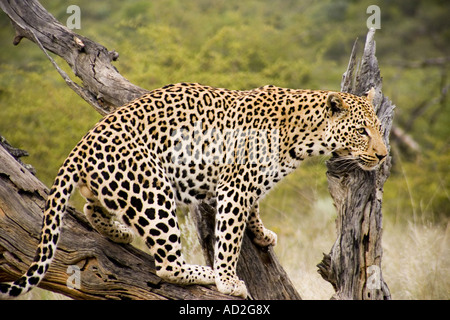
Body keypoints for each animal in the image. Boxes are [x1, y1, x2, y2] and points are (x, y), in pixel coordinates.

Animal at [0, 82, 386, 298]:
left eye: (379, 129)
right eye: (362, 131)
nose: (383, 155)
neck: (305, 136)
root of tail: (78, 148)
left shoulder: (248, 185)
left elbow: (254, 211)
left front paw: (262, 234)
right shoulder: (235, 186)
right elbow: (228, 238)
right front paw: (229, 280)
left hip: (118, 188)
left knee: (93, 208)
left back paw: (119, 232)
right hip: (153, 189)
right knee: (167, 265)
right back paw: (207, 273)